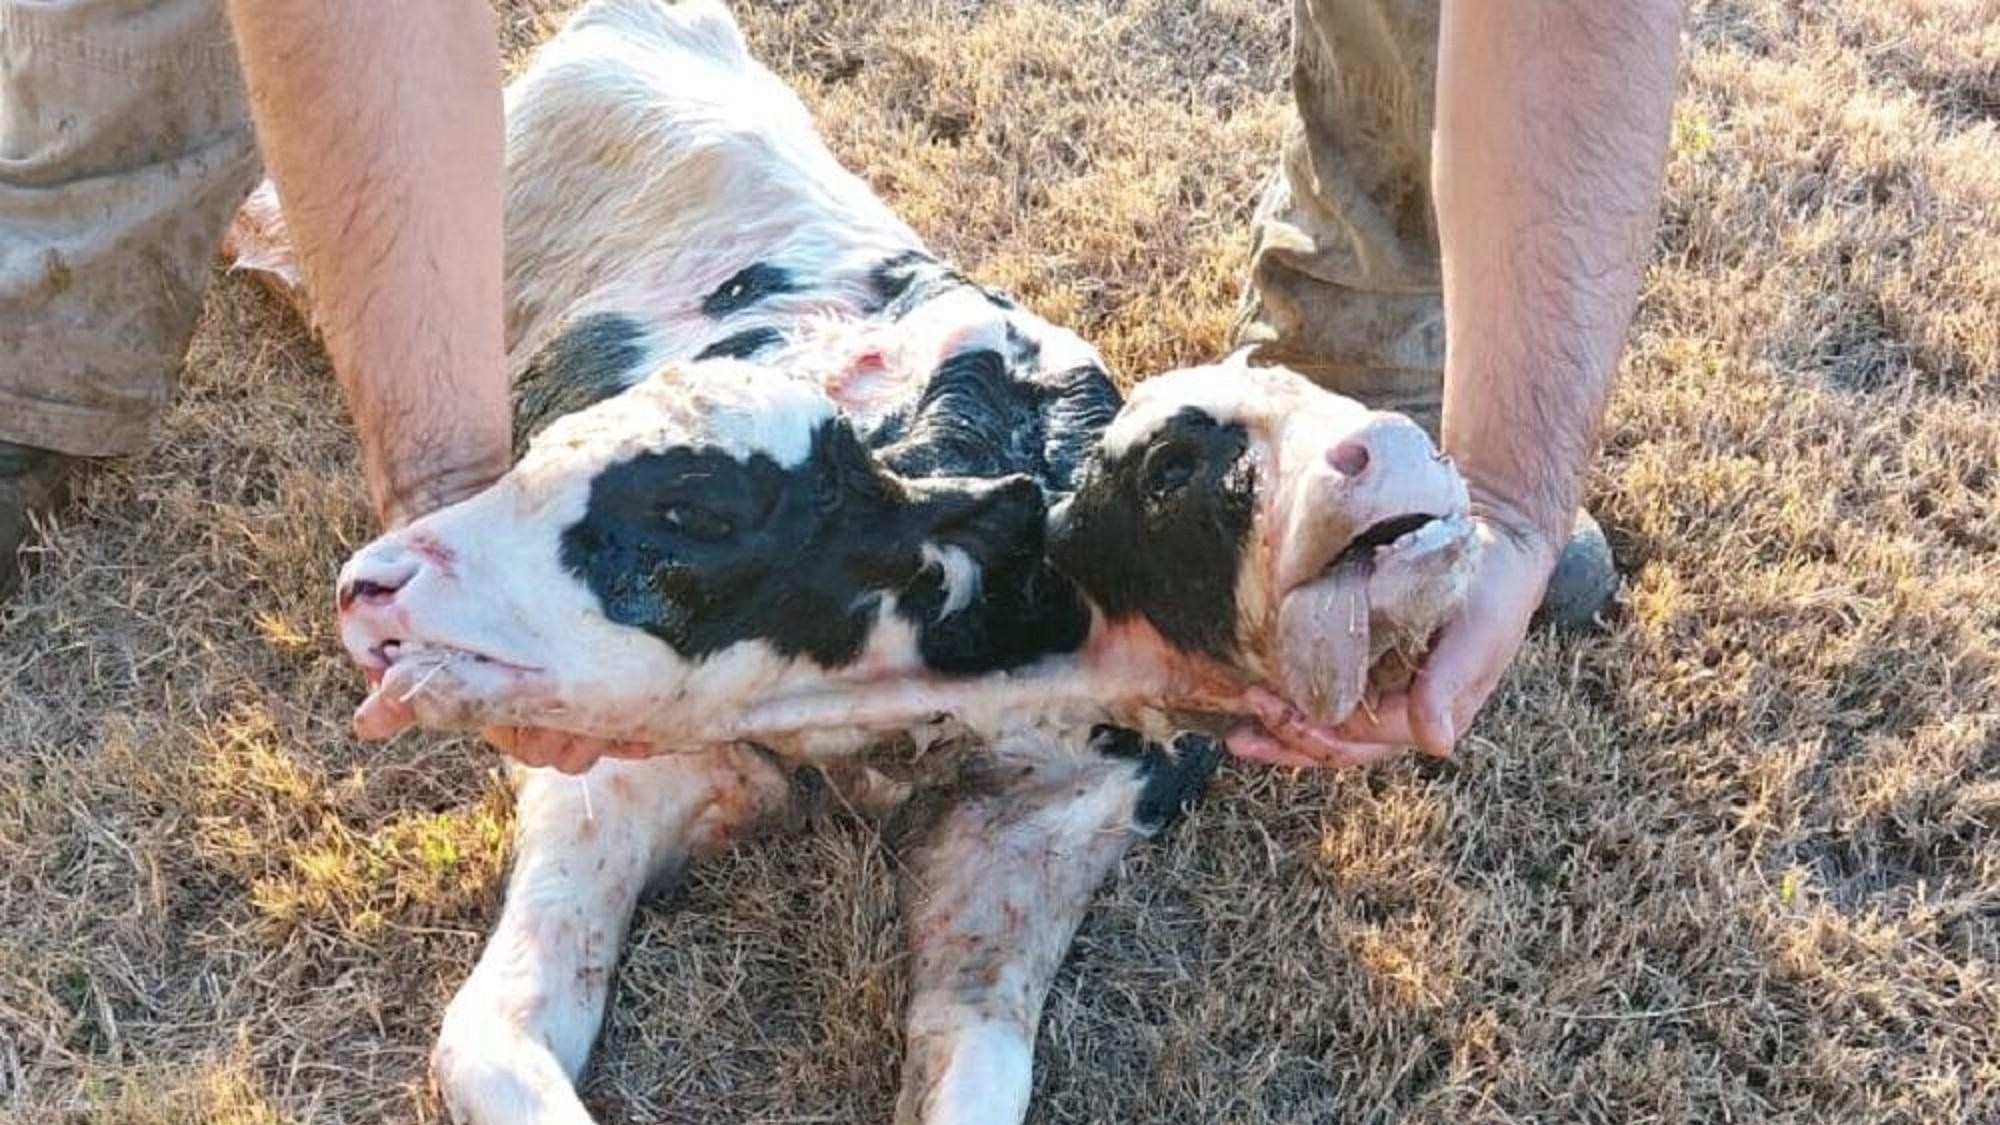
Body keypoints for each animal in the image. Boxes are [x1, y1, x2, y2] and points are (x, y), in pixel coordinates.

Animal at [274, 4, 1480, 1112]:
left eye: (691, 509)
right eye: (1174, 464)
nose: (374, 582)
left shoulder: (1038, 839)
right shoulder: (604, 785)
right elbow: (491, 1039)